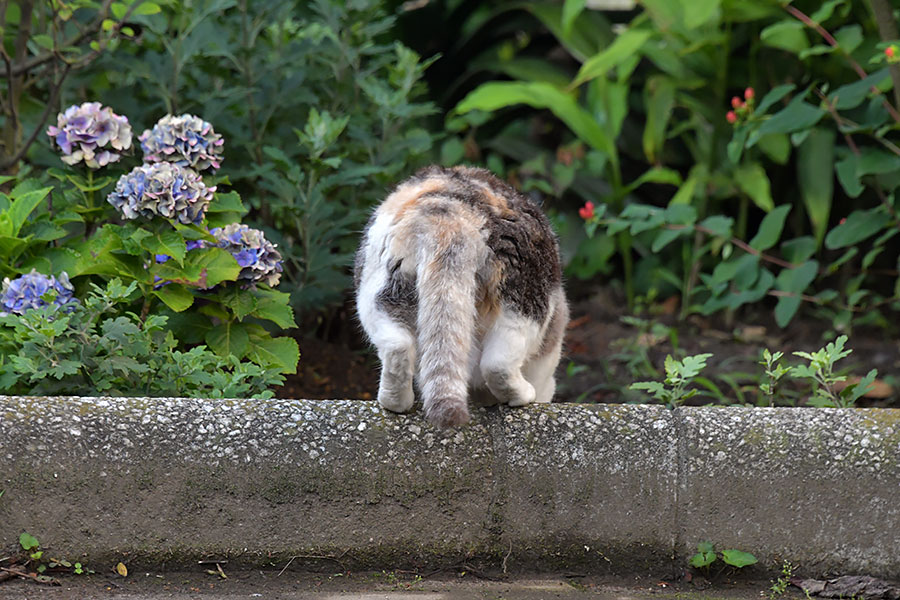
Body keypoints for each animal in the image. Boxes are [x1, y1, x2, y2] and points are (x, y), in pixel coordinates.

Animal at [354, 164, 568, 426]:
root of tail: (448, 211)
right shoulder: (547, 359)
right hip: (525, 301)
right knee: (498, 364)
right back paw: (520, 396)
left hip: (379, 293)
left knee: (397, 347)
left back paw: (395, 401)